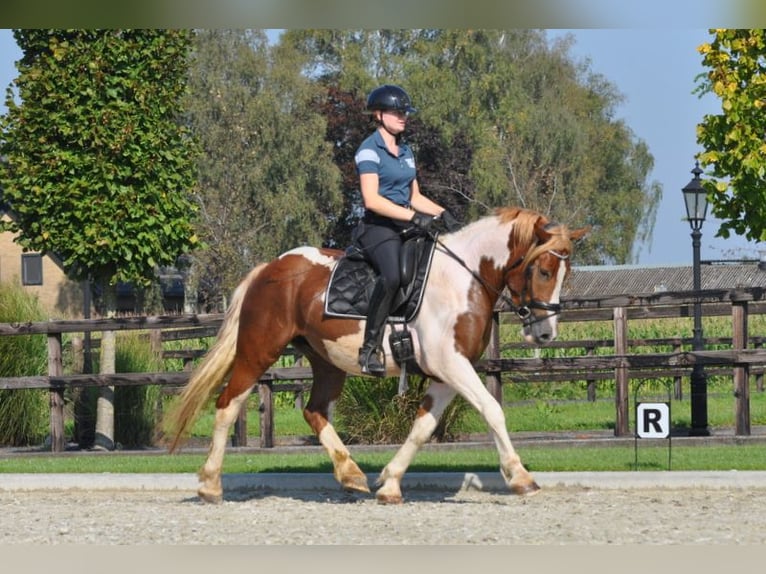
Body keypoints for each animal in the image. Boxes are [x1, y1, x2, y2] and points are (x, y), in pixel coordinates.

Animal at [165, 207, 592, 504]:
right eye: (543, 270)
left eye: (565, 273)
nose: (545, 332)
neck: (464, 278)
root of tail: (271, 267)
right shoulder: (451, 365)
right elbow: (492, 410)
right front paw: (520, 477)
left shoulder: (446, 374)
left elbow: (422, 428)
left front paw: (389, 483)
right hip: (259, 350)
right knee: (227, 404)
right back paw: (210, 484)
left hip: (326, 361)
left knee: (314, 411)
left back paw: (351, 474)